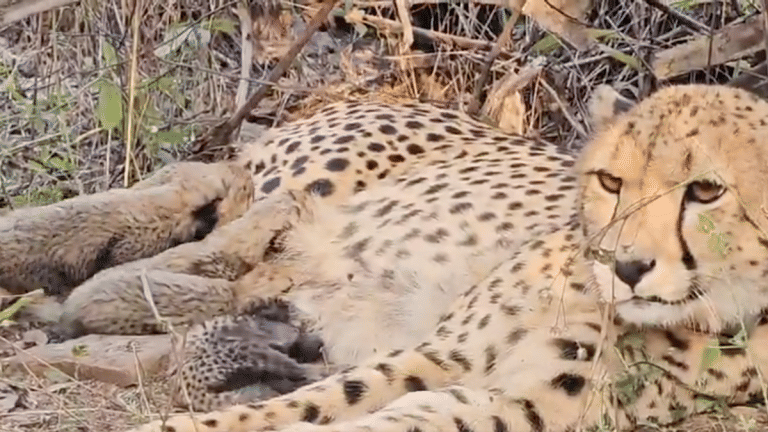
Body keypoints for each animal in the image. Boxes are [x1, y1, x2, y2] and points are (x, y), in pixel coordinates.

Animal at [4, 84, 768, 432]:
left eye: (706, 192)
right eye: (612, 181)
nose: (623, 264)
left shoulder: (509, 405)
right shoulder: (440, 353)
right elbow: (309, 405)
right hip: (321, 176)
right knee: (203, 188)